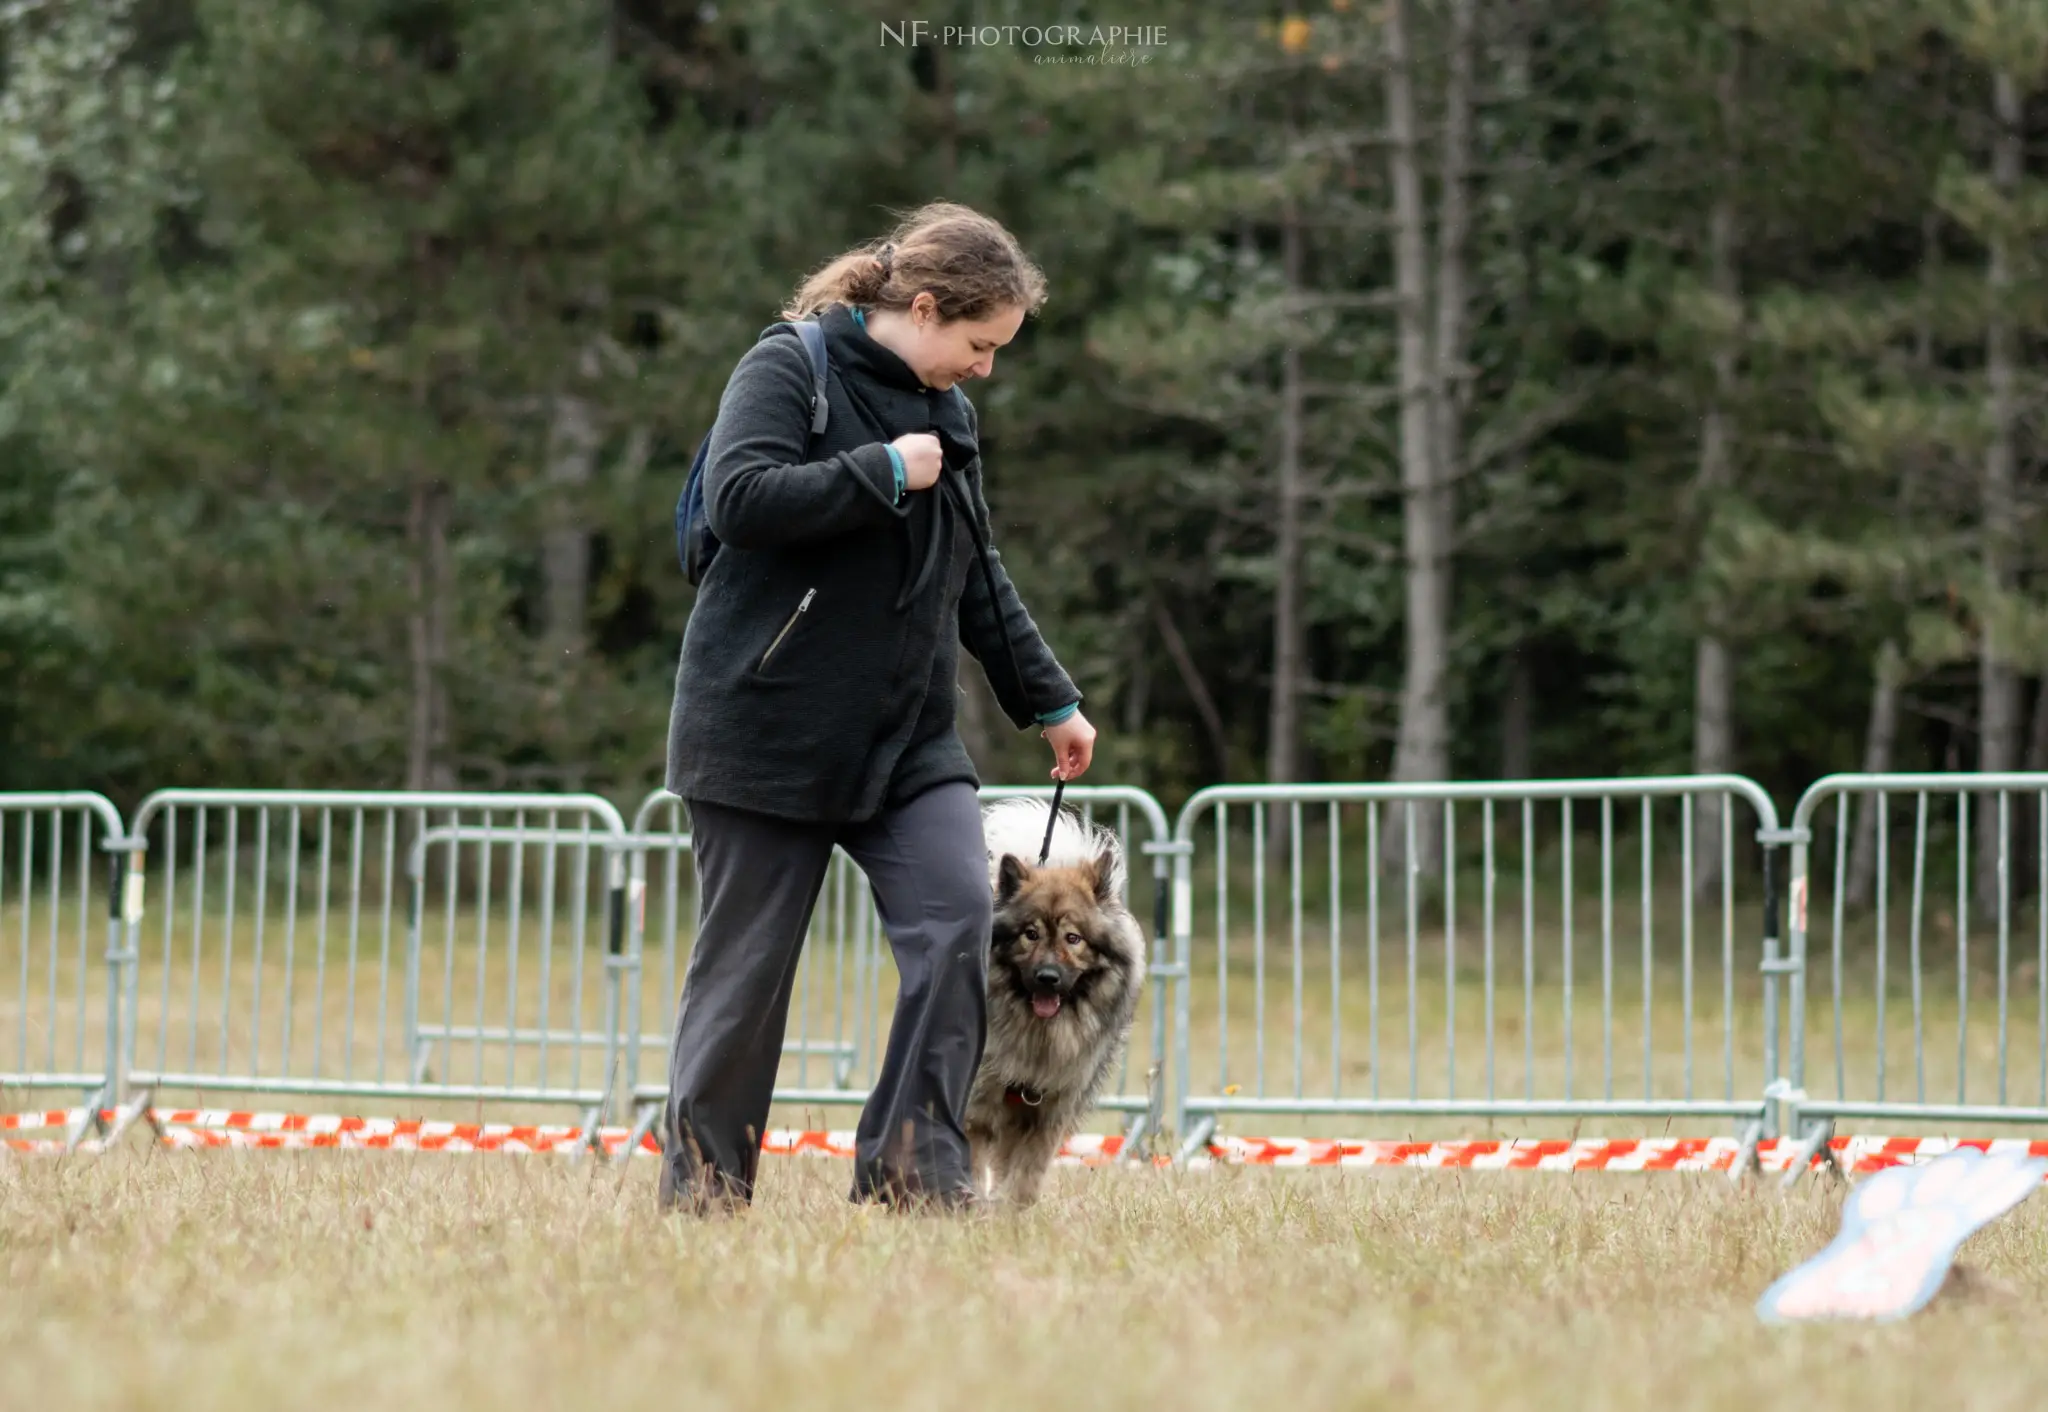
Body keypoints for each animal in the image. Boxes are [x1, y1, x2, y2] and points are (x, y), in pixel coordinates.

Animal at [966, 799, 1146, 1205]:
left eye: (1073, 938)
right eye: (1030, 934)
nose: (1047, 977)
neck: (1040, 1033)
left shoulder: (1049, 1110)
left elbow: (1025, 1179)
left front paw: (1008, 1208)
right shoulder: (980, 1103)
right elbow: (975, 1161)